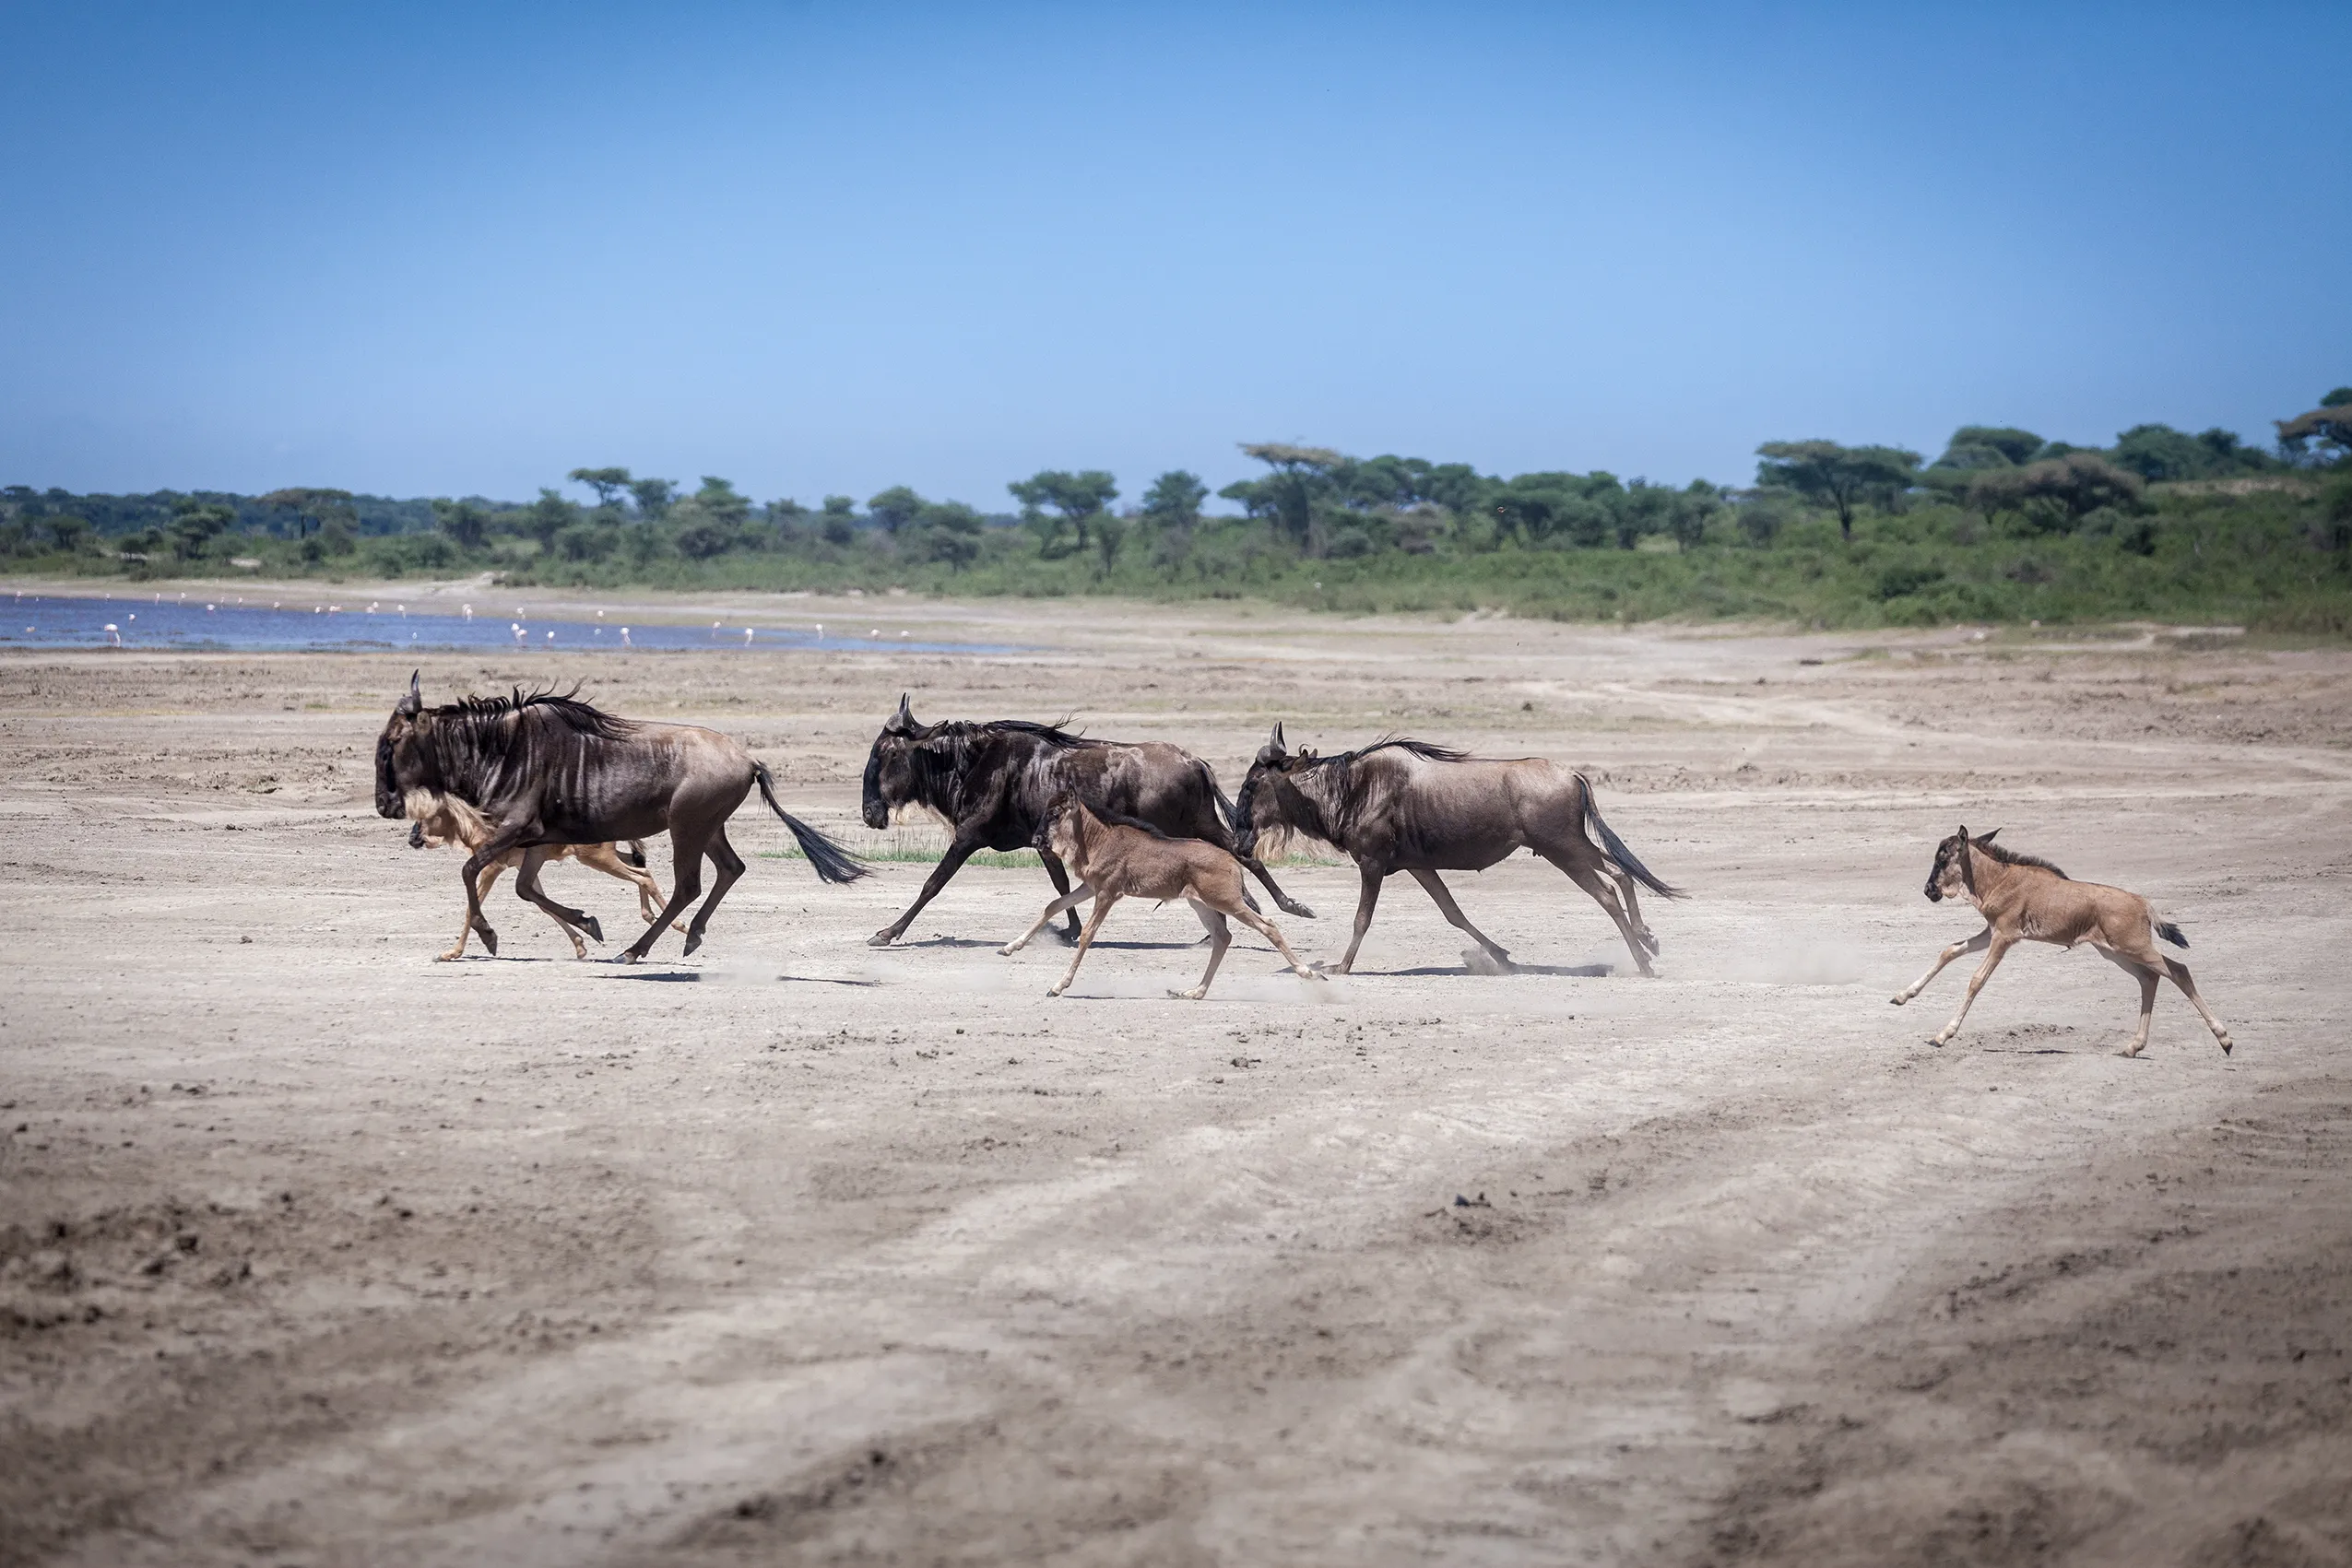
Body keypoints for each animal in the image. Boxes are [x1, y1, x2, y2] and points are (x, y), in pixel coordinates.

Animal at [997, 799, 1326, 1006]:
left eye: (1055, 814)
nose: (1036, 841)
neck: (1096, 839)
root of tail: (1232, 861)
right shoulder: (1090, 887)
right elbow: (1053, 905)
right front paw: (1010, 948)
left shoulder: (1108, 893)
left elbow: (1088, 934)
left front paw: (1058, 986)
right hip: (1202, 905)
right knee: (1223, 937)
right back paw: (1194, 992)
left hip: (1226, 901)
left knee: (1267, 925)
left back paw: (1308, 972)